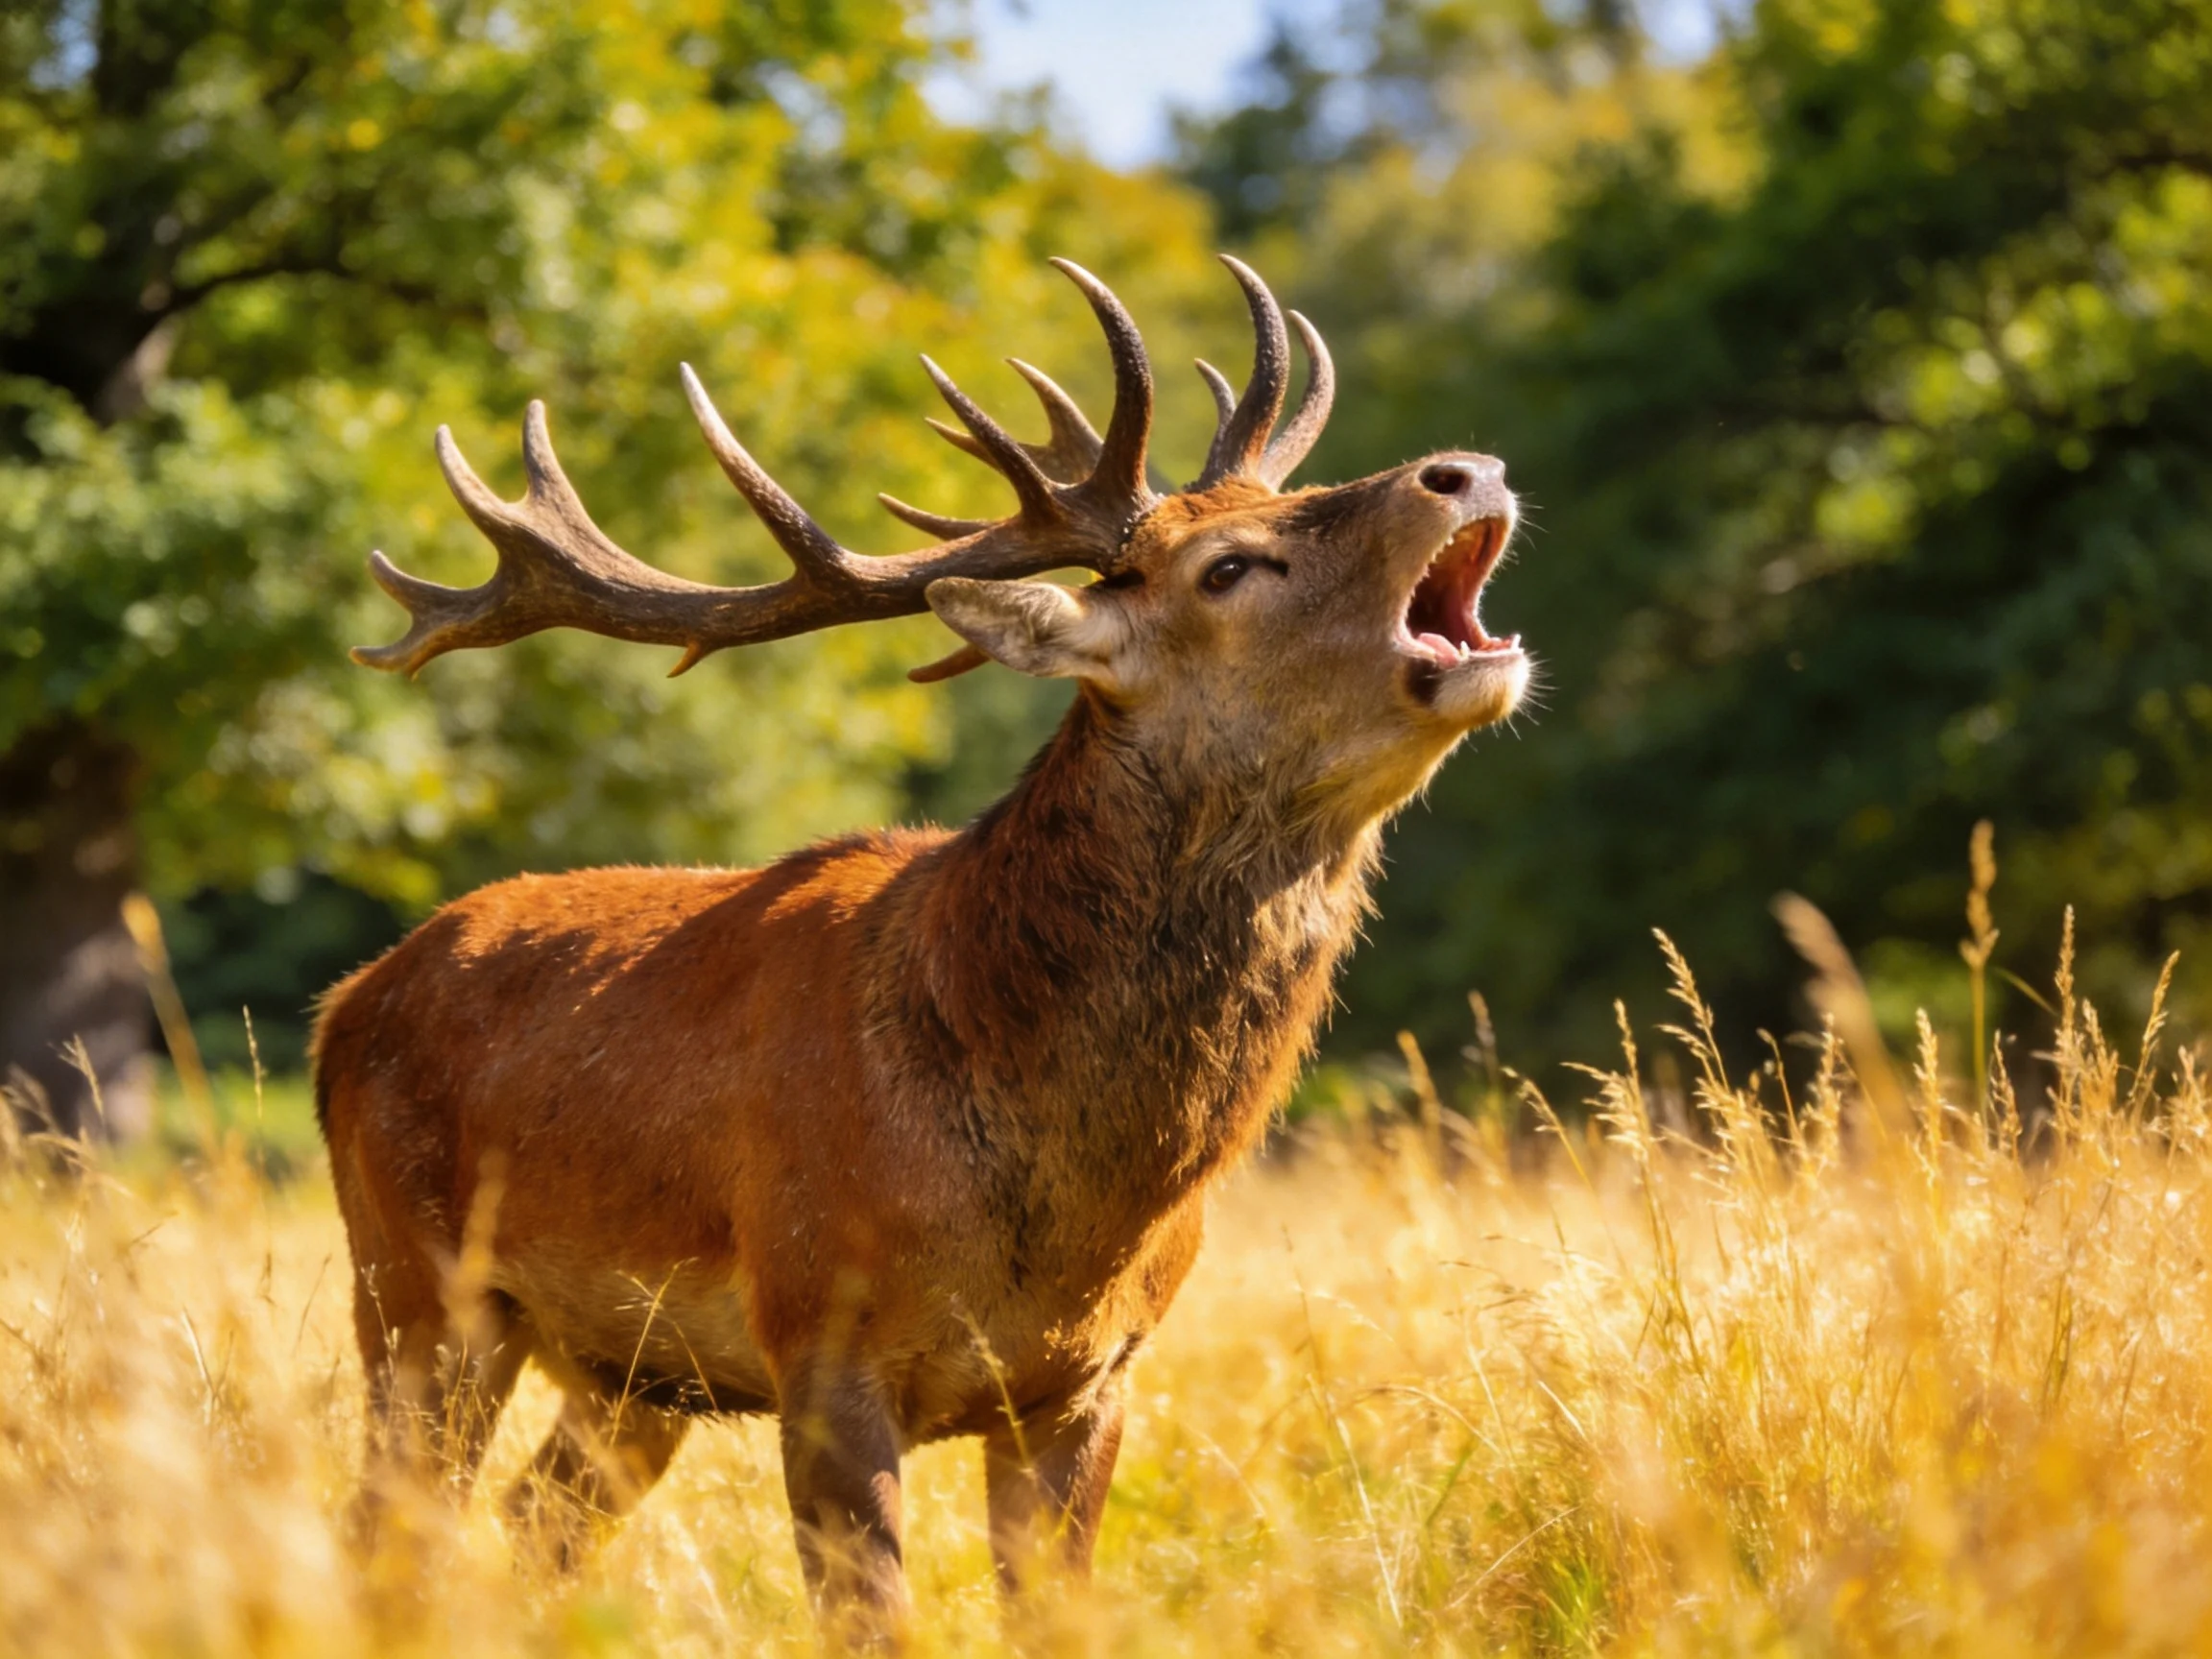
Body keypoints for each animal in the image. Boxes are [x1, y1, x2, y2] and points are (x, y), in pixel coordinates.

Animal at [314, 255, 1528, 1641]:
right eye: (1227, 567)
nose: (1465, 469)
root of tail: (344, 1005)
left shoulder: (1091, 1380)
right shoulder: (819, 1342)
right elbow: (872, 1623)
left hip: (627, 1375)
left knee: (534, 1527)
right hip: (416, 1288)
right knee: (387, 1538)